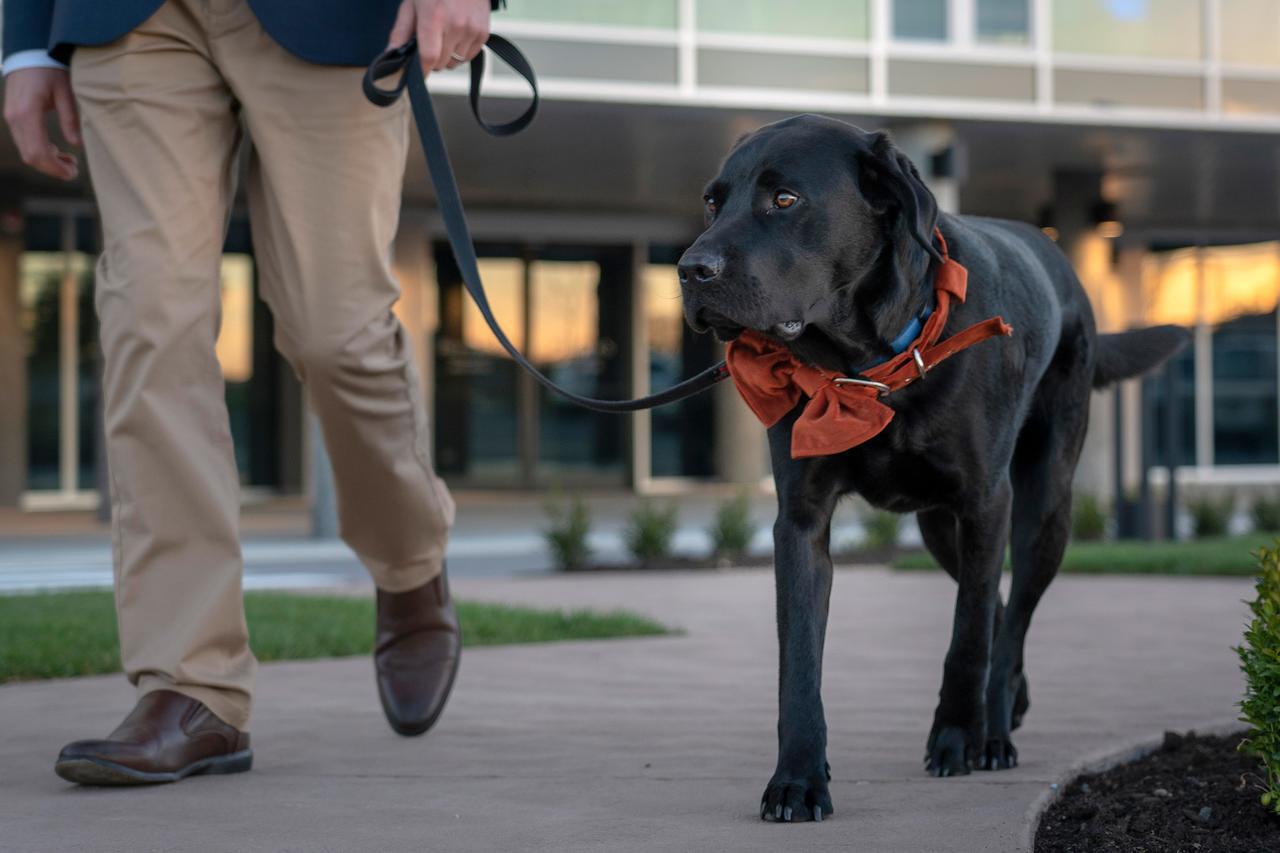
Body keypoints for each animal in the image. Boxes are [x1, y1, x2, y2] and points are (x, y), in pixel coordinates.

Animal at [680, 116, 1187, 819]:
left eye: (784, 200)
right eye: (712, 202)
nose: (688, 270)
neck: (866, 366)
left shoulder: (985, 503)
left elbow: (967, 639)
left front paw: (955, 739)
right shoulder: (801, 522)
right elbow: (799, 662)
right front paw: (798, 779)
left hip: (1042, 509)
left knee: (1010, 615)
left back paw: (993, 730)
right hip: (936, 528)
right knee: (996, 603)